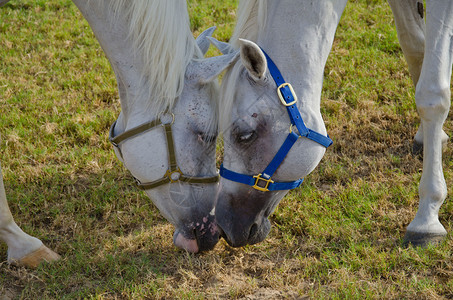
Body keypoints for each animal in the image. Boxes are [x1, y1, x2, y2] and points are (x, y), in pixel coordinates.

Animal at [212, 0, 452, 247]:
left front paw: (427, 217)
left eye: (245, 136)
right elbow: (415, 49)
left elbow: (431, 95)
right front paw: (427, 137)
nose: (223, 225)